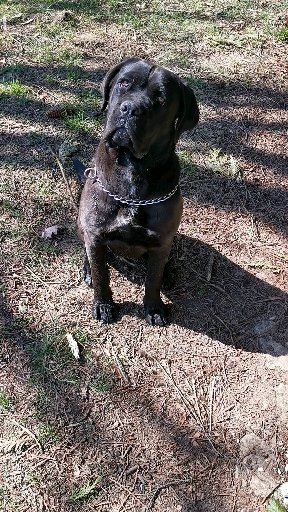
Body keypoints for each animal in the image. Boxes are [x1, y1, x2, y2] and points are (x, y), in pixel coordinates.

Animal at [77, 58, 199, 326]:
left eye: (161, 98)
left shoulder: (161, 241)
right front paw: (103, 304)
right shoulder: (96, 234)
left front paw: (153, 308)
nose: (130, 109)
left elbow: (153, 280)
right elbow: (101, 275)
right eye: (124, 83)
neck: (133, 170)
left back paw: (169, 273)